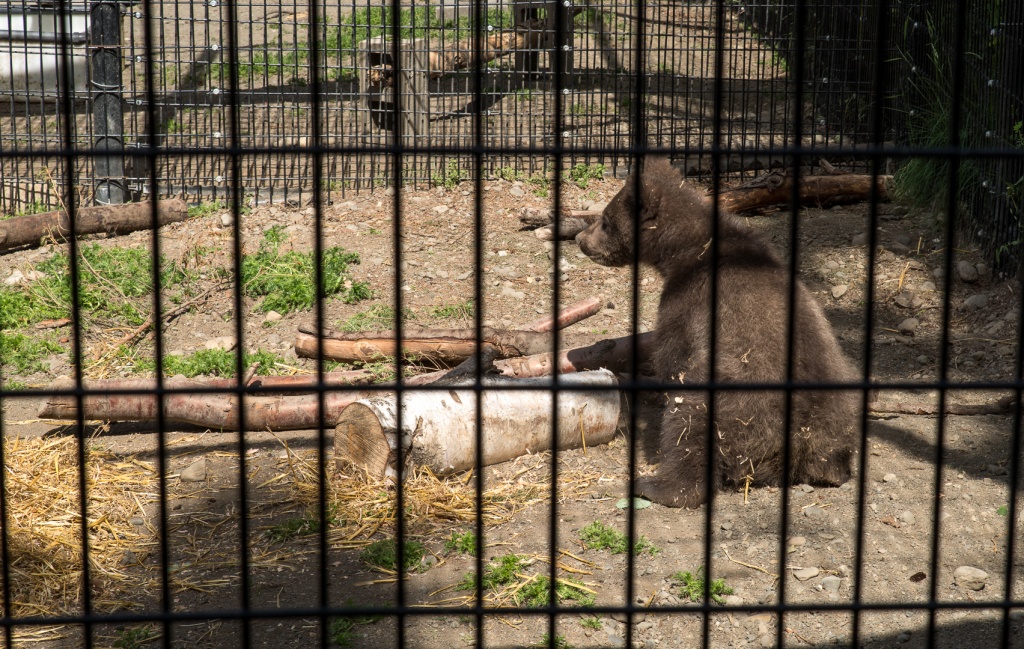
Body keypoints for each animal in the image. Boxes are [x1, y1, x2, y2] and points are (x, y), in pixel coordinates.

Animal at [577, 156, 856, 505]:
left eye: (605, 221)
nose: (580, 240)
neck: (684, 249)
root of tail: (801, 444)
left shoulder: (689, 300)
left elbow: (672, 358)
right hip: (837, 397)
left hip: (732, 402)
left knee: (689, 428)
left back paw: (653, 484)